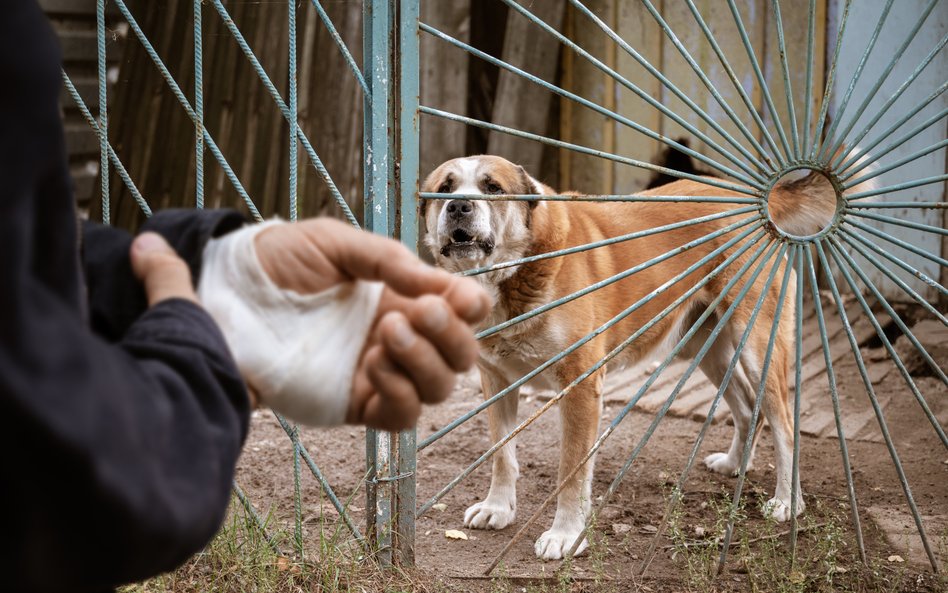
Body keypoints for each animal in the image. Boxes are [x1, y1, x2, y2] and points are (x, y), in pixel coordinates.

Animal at [418, 154, 848, 560]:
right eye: (445, 188)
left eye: (492, 187)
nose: (458, 206)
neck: (513, 273)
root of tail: (757, 200)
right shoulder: (496, 381)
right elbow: (501, 454)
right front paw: (498, 508)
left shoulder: (581, 387)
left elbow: (571, 471)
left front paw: (566, 535)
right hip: (707, 348)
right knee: (747, 410)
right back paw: (734, 465)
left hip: (758, 345)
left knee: (784, 424)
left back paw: (788, 501)